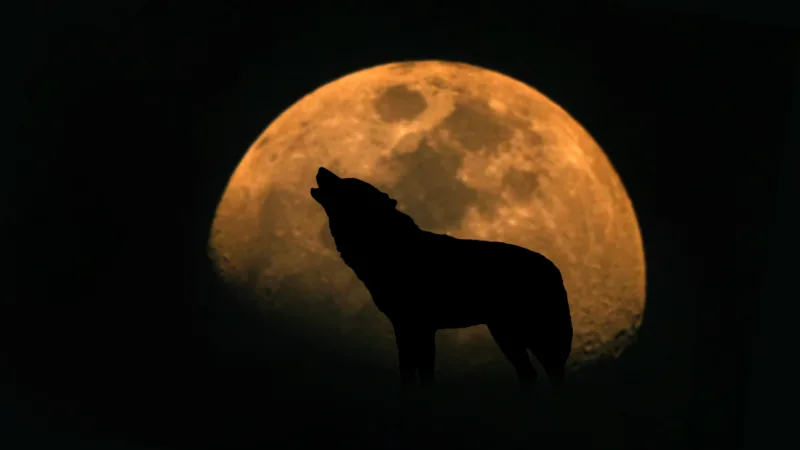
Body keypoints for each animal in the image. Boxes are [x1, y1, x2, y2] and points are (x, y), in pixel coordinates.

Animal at [310, 167, 573, 391]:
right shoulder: (404, 326)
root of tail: (554, 268)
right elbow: (408, 372)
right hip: (505, 335)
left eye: (348, 182)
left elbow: (425, 374)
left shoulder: (422, 326)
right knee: (530, 374)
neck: (387, 246)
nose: (321, 168)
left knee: (553, 374)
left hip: (536, 336)